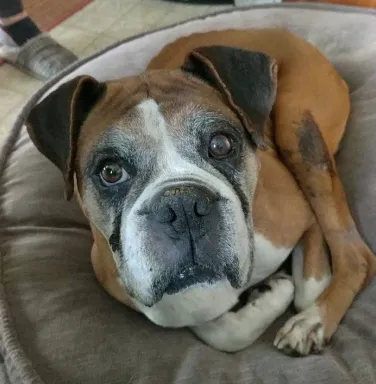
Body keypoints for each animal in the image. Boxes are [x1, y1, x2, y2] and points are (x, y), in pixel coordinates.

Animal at [25, 28, 374, 356]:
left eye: (221, 144)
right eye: (110, 171)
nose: (182, 206)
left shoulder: (301, 213)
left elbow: (308, 286)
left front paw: (295, 305)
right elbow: (219, 329)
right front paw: (268, 296)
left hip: (296, 131)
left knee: (357, 257)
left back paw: (314, 321)